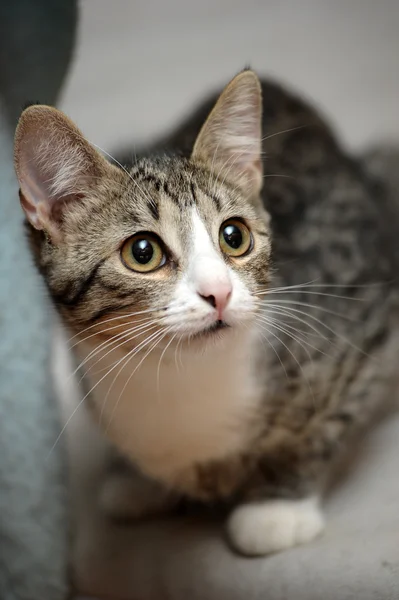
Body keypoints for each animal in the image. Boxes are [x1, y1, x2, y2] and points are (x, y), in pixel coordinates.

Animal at [13, 71, 399, 556]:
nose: (219, 292)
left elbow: (322, 424)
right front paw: (138, 477)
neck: (179, 375)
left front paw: (278, 504)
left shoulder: (367, 313)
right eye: (143, 252)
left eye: (235, 236)